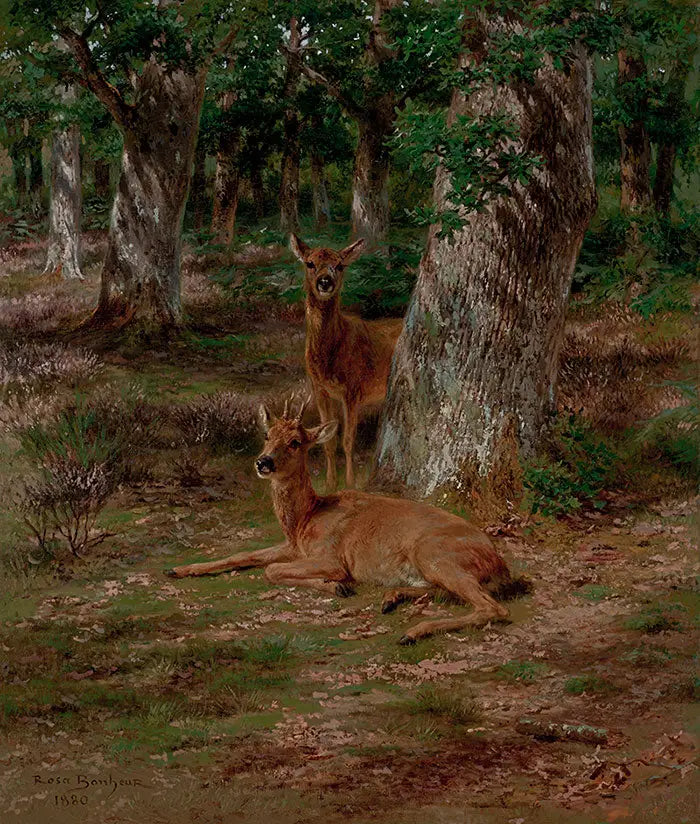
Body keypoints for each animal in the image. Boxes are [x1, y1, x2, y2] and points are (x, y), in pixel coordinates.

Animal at [165, 397, 515, 645]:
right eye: (266, 435)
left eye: (295, 441)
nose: (263, 462)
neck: (306, 517)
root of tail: (500, 563)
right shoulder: (295, 546)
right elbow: (243, 555)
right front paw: (179, 569)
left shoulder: (331, 556)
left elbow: (271, 570)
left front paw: (337, 586)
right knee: (447, 592)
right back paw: (391, 599)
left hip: (433, 552)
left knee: (492, 607)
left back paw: (412, 632)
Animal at [289, 233, 402, 491]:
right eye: (309, 263)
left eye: (340, 265)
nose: (325, 281)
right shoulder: (319, 389)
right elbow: (328, 439)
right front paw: (330, 481)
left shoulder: (353, 388)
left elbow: (348, 439)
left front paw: (350, 482)